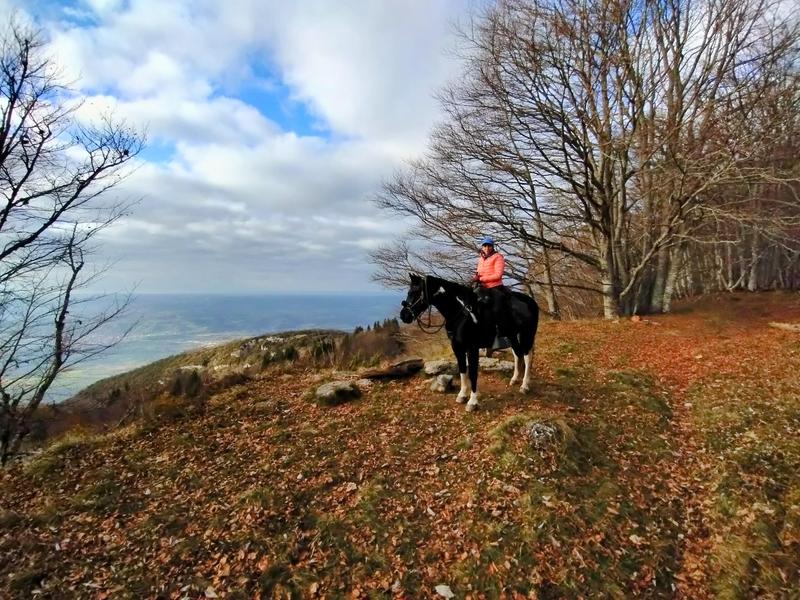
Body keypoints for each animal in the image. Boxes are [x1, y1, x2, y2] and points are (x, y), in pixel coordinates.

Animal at [399, 273, 539, 411]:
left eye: (416, 292)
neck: (462, 314)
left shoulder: (472, 348)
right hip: (512, 335)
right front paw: (462, 395)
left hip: (527, 334)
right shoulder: (457, 348)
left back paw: (524, 386)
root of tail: (530, 301)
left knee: (527, 357)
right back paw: (515, 379)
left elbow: (472, 373)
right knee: (517, 354)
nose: (404, 315)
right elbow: (462, 370)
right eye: (409, 292)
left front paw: (472, 402)